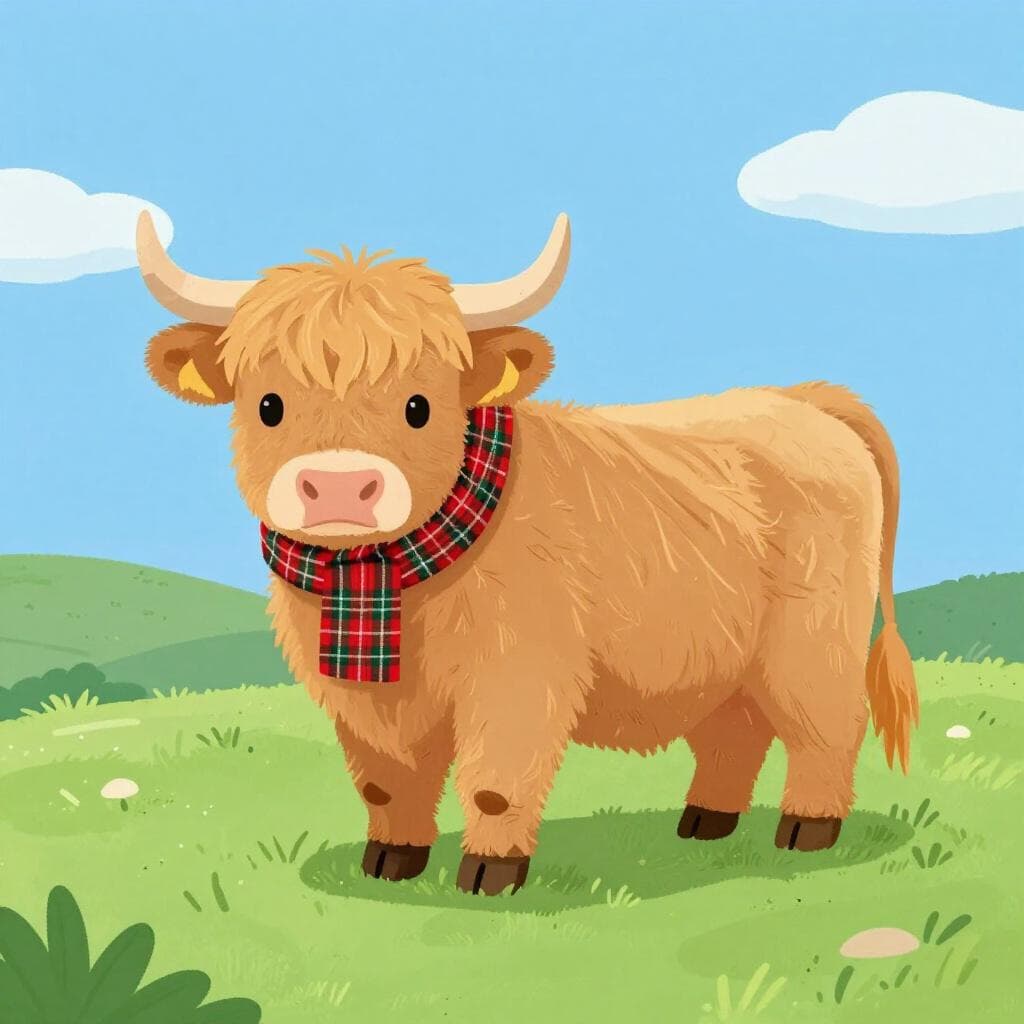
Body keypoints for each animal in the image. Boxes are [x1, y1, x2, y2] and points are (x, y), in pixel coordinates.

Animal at [136, 211, 918, 896]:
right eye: (268, 405)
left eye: (419, 406)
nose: (338, 487)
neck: (382, 588)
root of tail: (801, 400)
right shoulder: (360, 700)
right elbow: (385, 782)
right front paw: (389, 859)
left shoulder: (520, 675)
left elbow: (494, 781)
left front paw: (490, 872)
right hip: (724, 659)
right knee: (737, 732)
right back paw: (705, 821)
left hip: (810, 642)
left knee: (827, 726)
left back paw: (807, 829)